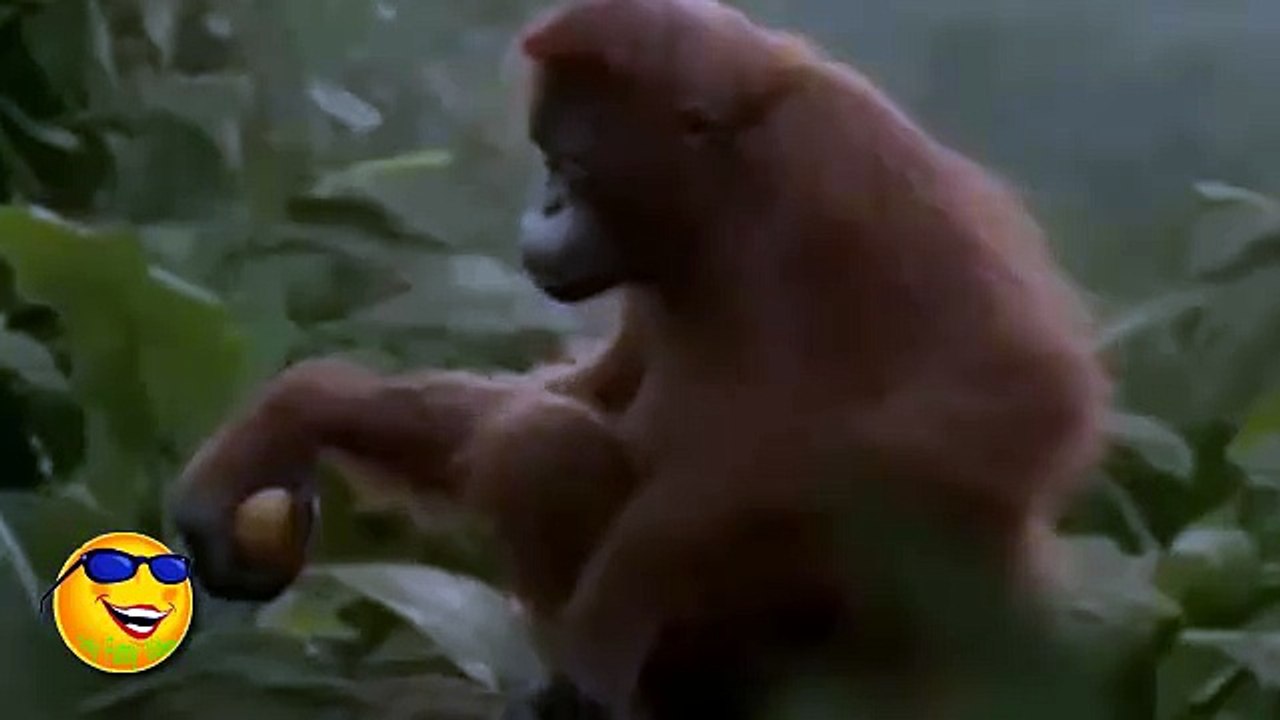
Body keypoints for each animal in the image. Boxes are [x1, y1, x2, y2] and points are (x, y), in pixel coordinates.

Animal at [171, 1, 1112, 718]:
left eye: (573, 166)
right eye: (549, 160)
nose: (547, 202)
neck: (731, 183)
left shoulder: (839, 159)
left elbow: (1017, 392)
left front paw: (627, 586)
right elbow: (588, 392)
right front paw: (295, 411)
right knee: (544, 444)